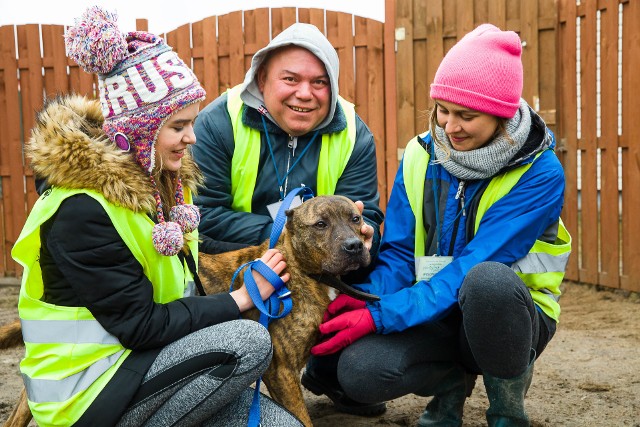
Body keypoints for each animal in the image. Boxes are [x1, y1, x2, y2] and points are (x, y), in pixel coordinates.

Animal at [0, 196, 378, 427]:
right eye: (320, 224)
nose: (354, 246)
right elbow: (301, 419)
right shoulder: (281, 370)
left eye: (356, 219)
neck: (300, 270)